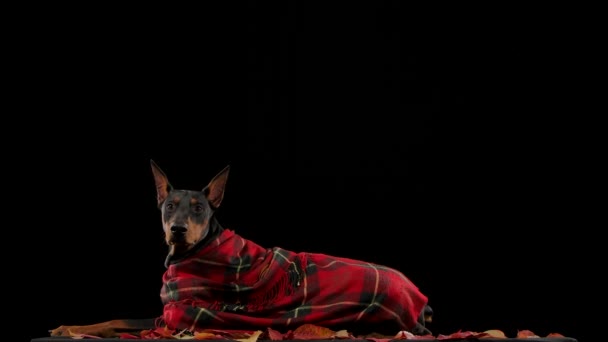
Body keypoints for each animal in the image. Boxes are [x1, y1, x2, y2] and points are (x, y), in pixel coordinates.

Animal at [51, 162, 432, 338]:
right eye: (170, 206)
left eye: (199, 208)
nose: (177, 230)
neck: (199, 250)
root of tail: (419, 298)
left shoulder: (174, 315)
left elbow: (117, 320)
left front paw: (67, 329)